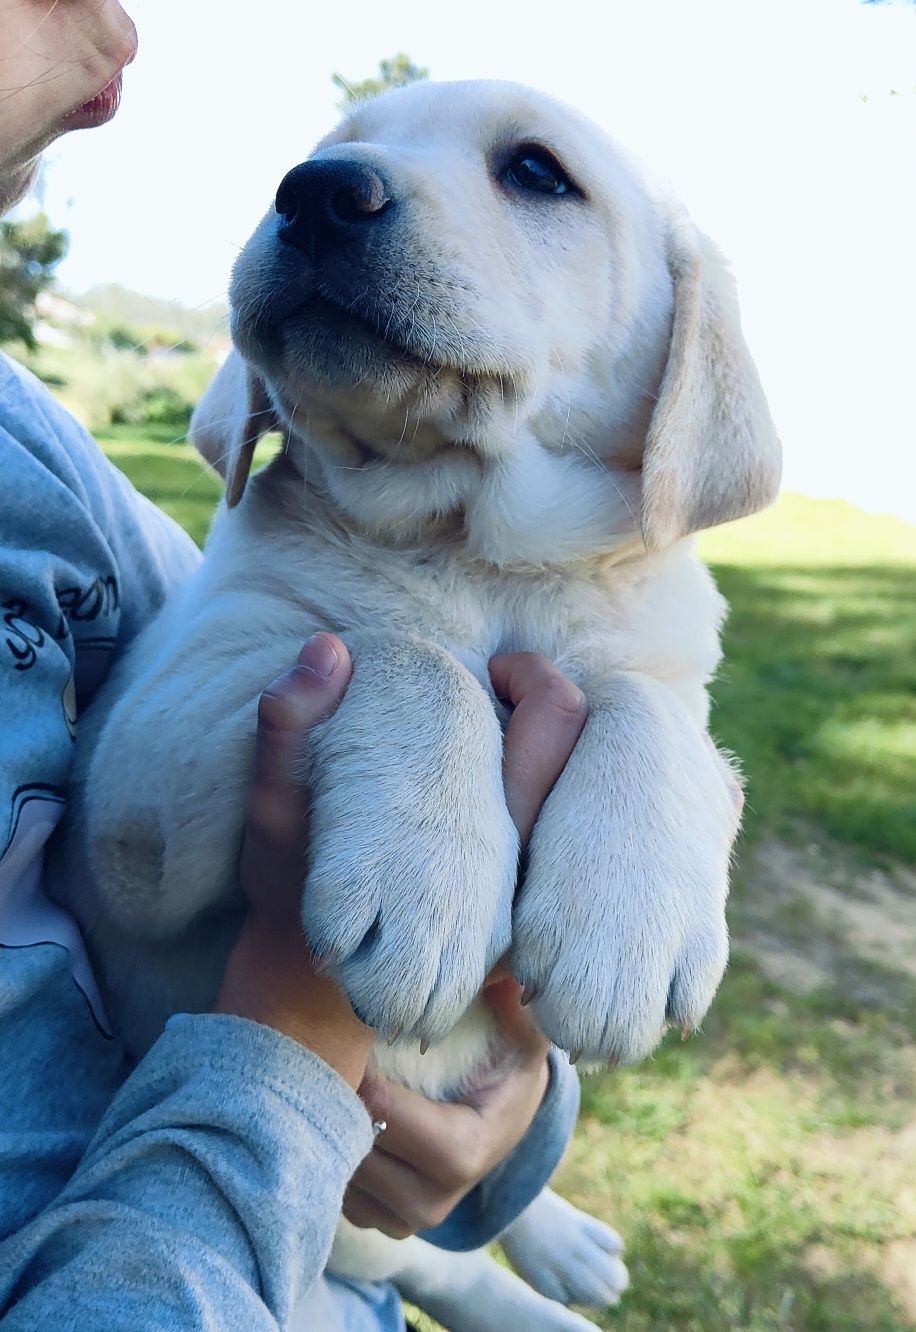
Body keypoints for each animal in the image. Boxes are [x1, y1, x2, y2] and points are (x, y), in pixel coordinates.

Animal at [48, 83, 777, 1332]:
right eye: (333, 149)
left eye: (536, 173)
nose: (315, 192)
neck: (471, 547)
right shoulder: (135, 780)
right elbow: (403, 645)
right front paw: (424, 876)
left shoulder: (666, 660)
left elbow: (644, 706)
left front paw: (623, 913)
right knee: (414, 1259)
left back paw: (561, 1245)